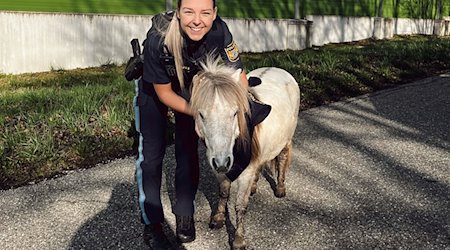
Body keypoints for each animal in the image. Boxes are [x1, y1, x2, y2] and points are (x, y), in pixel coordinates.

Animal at [189, 57, 298, 250]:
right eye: (201, 115)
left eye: (235, 113)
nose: (222, 162)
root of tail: (279, 69)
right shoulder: (220, 169)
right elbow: (223, 193)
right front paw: (218, 218)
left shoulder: (244, 172)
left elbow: (240, 206)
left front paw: (239, 240)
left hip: (285, 140)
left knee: (282, 158)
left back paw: (280, 188)